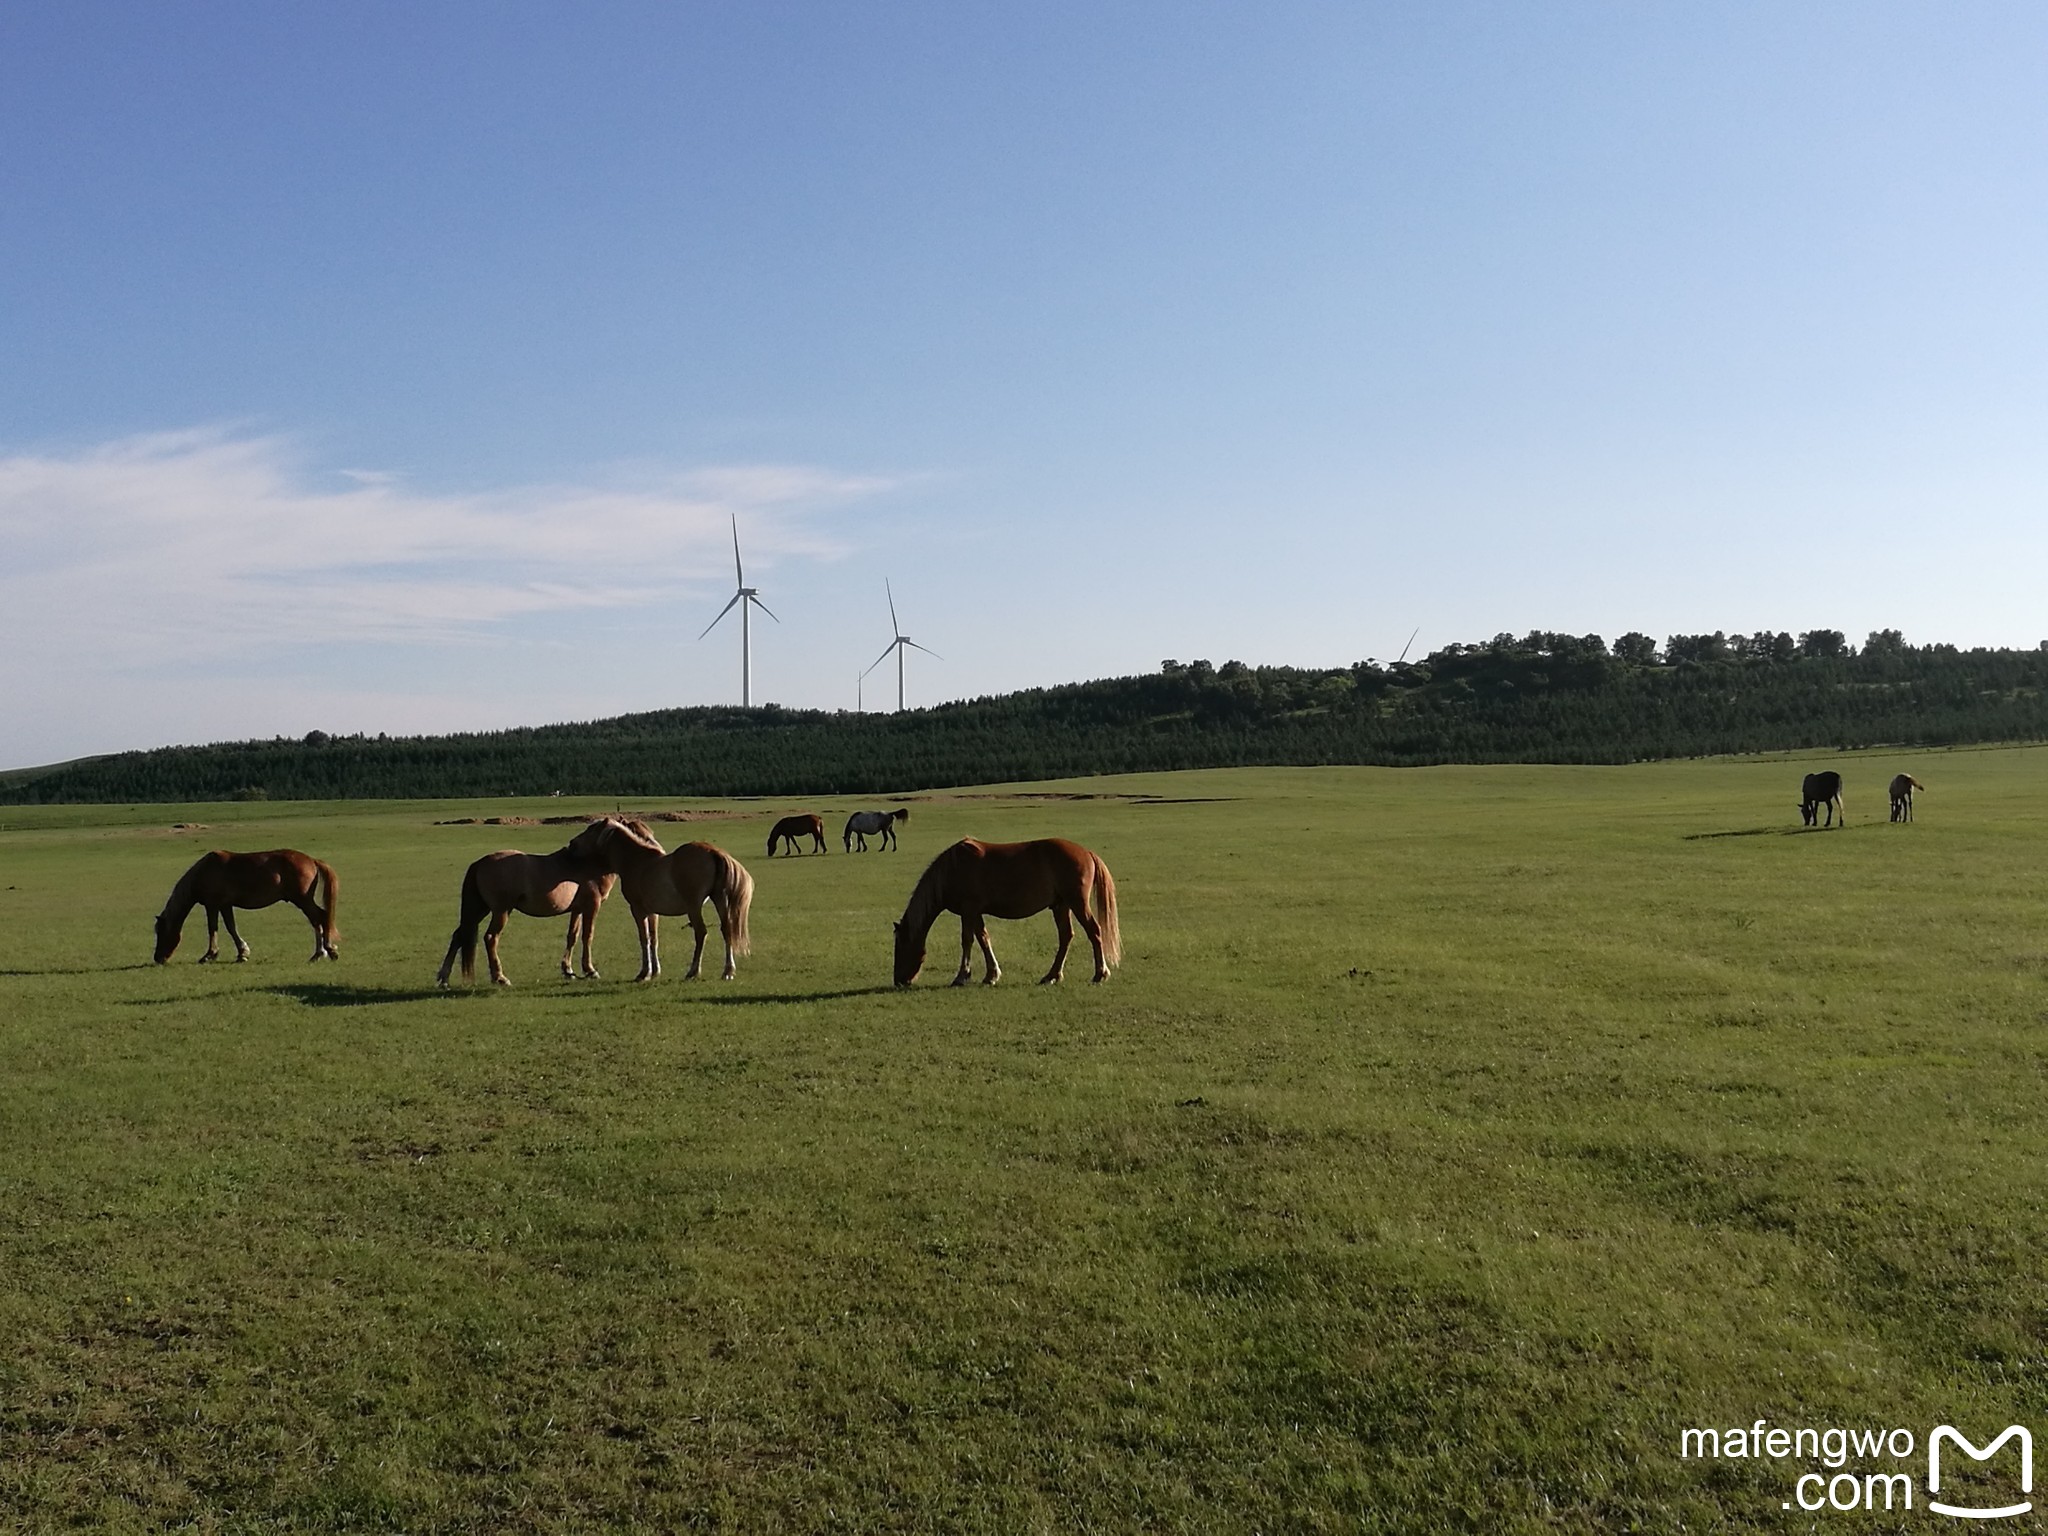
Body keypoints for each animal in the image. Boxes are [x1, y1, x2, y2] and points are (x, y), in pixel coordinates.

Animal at [153, 856, 337, 962]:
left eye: (161, 932)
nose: (157, 958)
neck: (204, 872)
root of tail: (312, 861)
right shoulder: (225, 905)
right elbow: (231, 927)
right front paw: (243, 952)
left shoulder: (212, 905)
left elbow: (213, 928)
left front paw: (210, 954)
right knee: (318, 919)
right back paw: (321, 952)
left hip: (303, 900)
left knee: (320, 917)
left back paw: (326, 951)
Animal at [432, 835, 614, 991]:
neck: (588, 863)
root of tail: (480, 863)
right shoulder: (591, 907)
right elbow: (587, 936)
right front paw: (590, 970)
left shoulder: (577, 910)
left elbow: (572, 936)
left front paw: (568, 970)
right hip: (501, 911)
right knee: (491, 938)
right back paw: (500, 977)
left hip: (479, 909)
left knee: (459, 936)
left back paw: (444, 979)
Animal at [565, 823, 757, 978]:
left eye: (590, 830)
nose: (571, 844)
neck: (635, 862)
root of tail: (712, 852)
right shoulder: (652, 912)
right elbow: (653, 939)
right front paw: (655, 971)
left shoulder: (638, 910)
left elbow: (644, 939)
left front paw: (644, 973)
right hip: (720, 900)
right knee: (727, 930)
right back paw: (727, 971)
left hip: (694, 907)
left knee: (701, 933)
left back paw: (693, 971)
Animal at [897, 835, 1122, 991]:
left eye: (900, 946)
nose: (899, 980)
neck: (952, 869)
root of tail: (1087, 852)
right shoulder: (975, 912)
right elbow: (983, 938)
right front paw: (991, 975)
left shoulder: (968, 910)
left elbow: (967, 940)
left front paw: (961, 976)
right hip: (1061, 906)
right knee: (1066, 936)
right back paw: (1051, 976)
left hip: (1077, 903)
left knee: (1094, 931)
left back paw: (1100, 974)